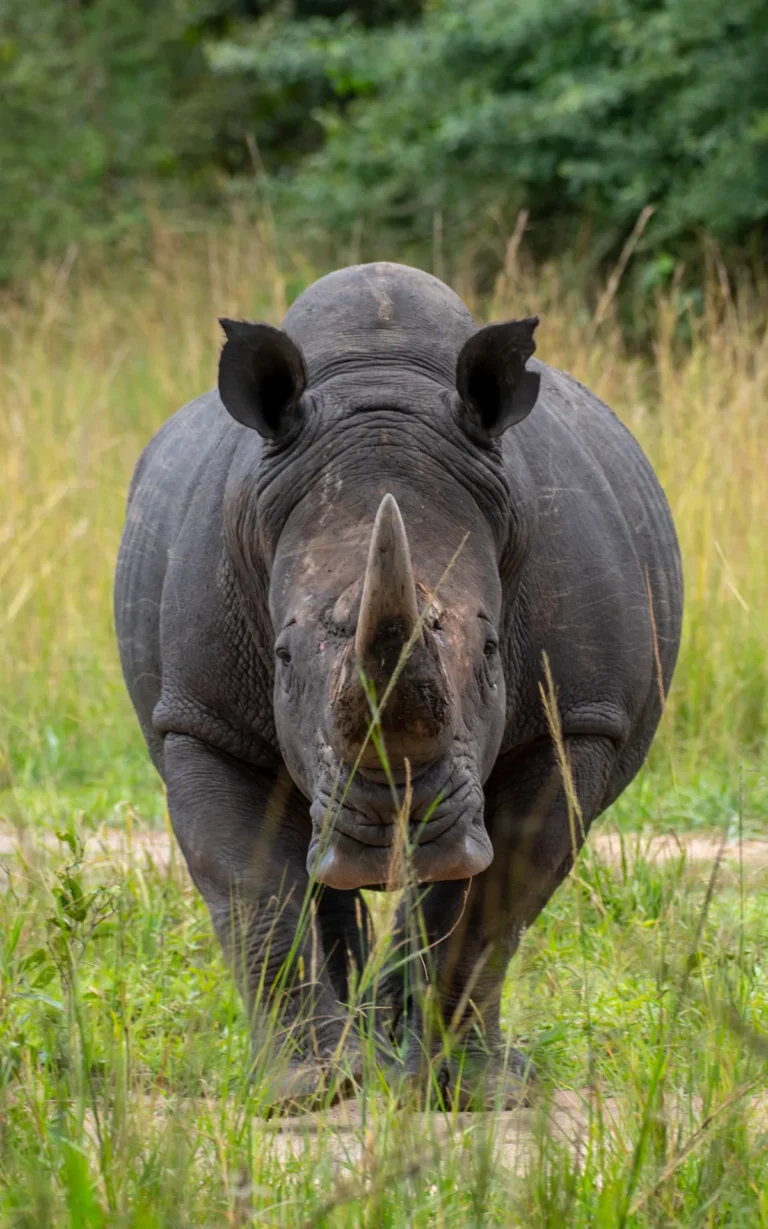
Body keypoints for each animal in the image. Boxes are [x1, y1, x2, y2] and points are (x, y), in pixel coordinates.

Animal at [115, 262, 682, 1107]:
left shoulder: (576, 718)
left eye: (492, 647)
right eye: (282, 656)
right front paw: (307, 1088)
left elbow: (495, 895)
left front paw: (468, 1092)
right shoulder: (203, 716)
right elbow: (253, 886)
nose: (393, 829)